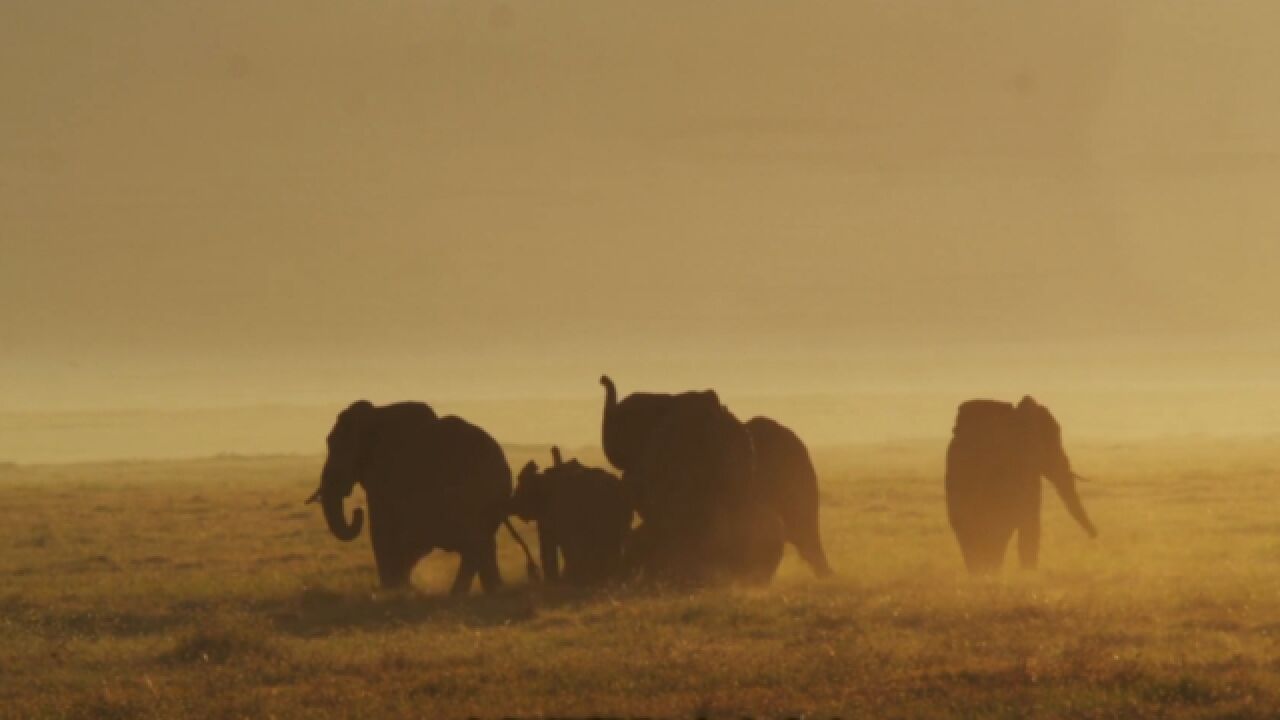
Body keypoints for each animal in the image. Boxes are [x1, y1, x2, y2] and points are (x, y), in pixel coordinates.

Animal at [307, 397, 537, 589]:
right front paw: (397, 588)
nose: (357, 511)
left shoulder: (386, 477)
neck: (376, 413)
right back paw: (489, 591)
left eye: (335, 446)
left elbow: (382, 527)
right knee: (481, 545)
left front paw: (394, 589)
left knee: (472, 544)